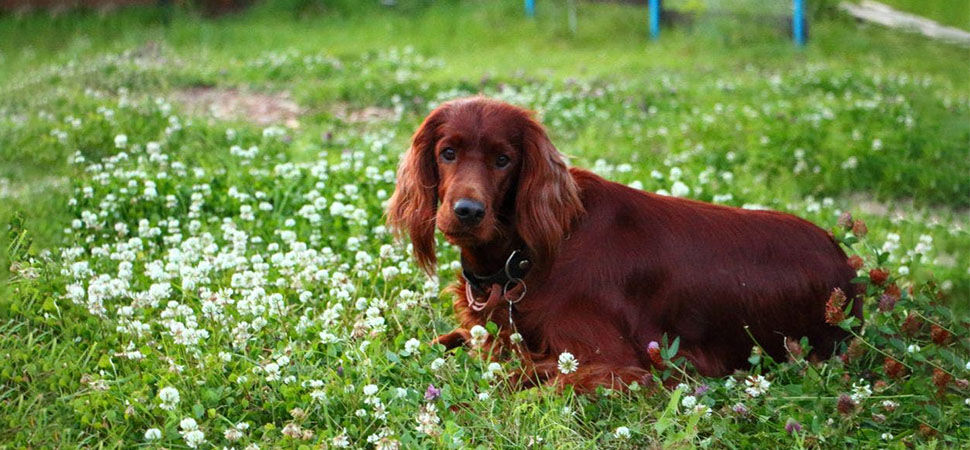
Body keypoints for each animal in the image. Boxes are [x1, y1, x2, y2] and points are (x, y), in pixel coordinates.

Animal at [386, 96, 856, 392]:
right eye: (447, 152)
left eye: (503, 160)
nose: (467, 211)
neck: (526, 258)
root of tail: (846, 267)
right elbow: (445, 341)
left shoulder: (625, 366)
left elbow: (536, 384)